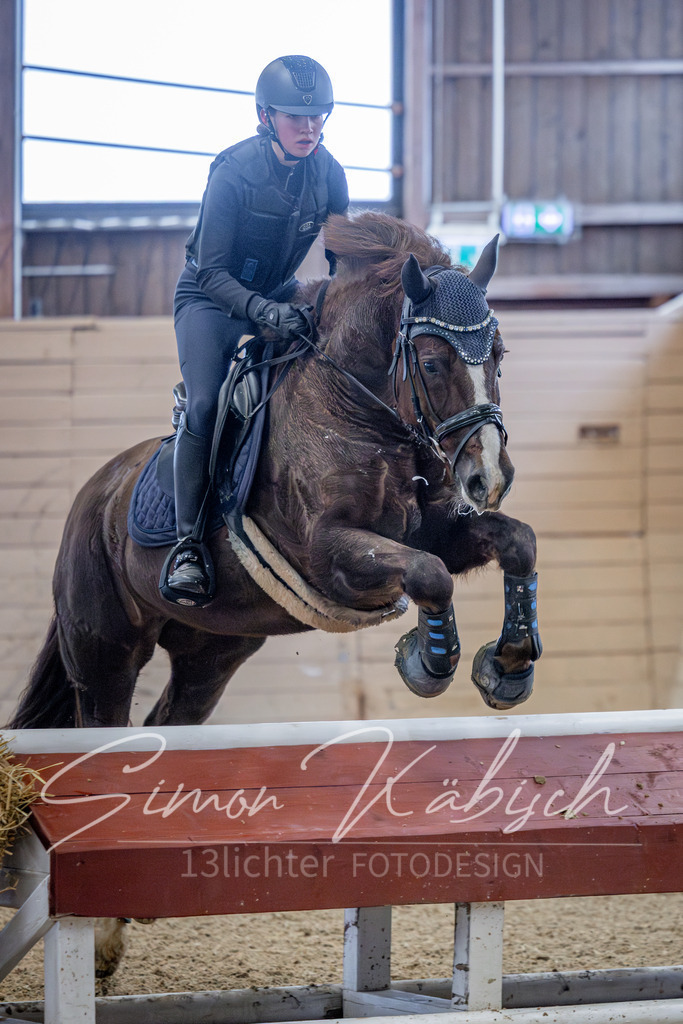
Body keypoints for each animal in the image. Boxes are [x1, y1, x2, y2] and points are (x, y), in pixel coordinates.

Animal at [9, 211, 541, 734]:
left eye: (499, 355)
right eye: (430, 364)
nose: (490, 477)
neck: (360, 412)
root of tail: (96, 494)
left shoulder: (431, 531)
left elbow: (516, 541)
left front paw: (509, 664)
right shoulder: (327, 552)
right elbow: (431, 575)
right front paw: (427, 663)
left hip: (213, 648)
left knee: (172, 714)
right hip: (104, 652)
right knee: (102, 715)